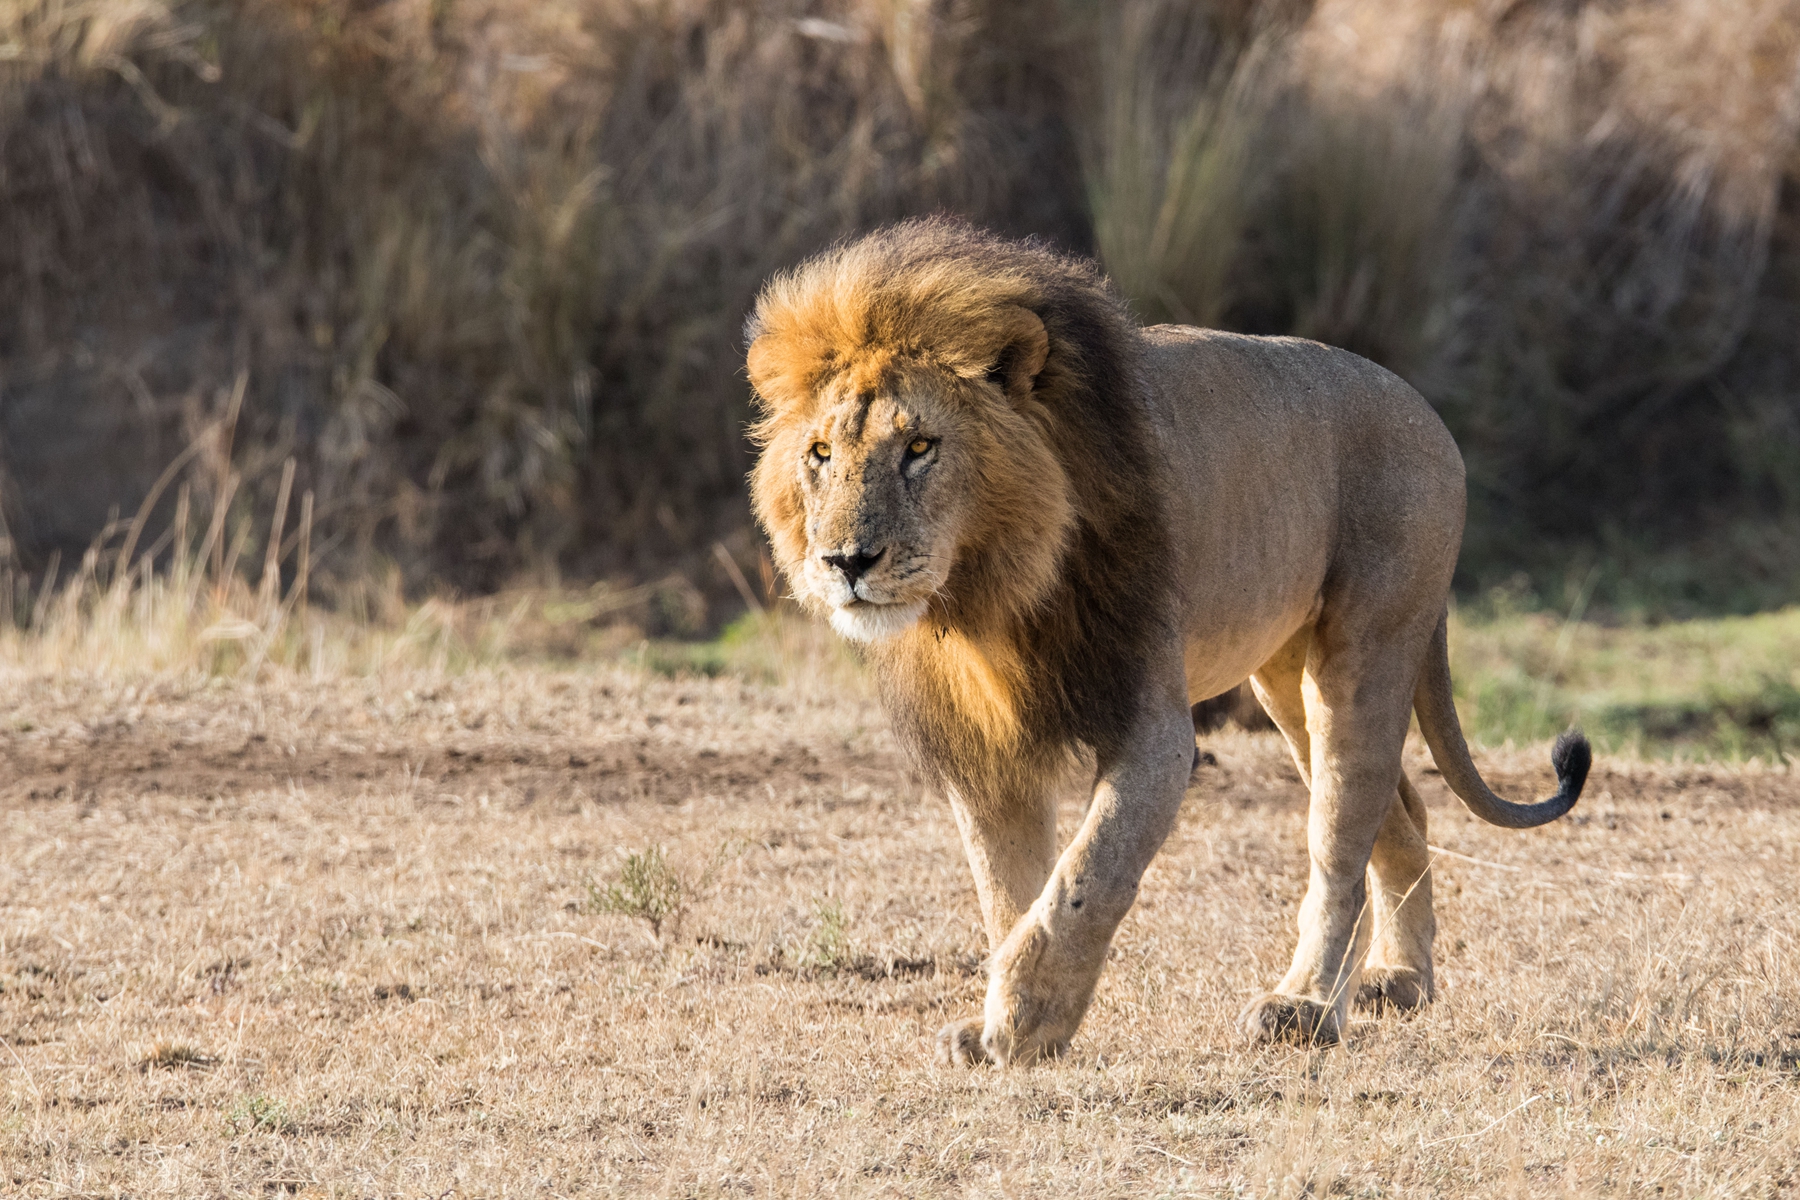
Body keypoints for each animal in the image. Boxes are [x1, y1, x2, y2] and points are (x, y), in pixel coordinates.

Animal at [745, 220, 1591, 1065]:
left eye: (920, 448)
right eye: (821, 454)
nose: (846, 562)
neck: (990, 595)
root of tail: (1421, 403)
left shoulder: (1150, 725)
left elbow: (1086, 874)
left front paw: (1028, 1016)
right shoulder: (981, 739)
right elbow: (1008, 887)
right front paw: (998, 1023)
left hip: (1366, 650)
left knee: (1339, 840)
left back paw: (1307, 1005)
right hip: (1284, 676)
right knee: (1403, 810)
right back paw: (1400, 976)